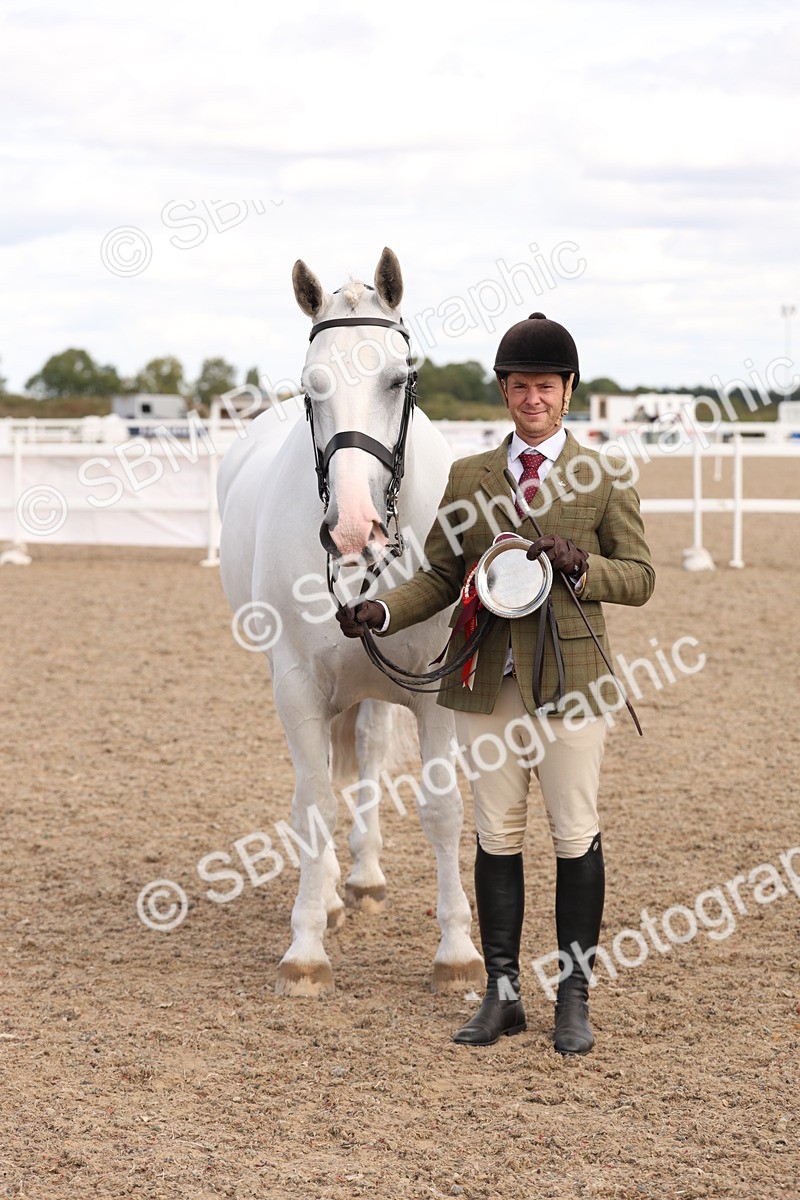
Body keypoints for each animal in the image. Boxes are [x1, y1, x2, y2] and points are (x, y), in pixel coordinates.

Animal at [217, 247, 484, 997]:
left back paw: (363, 877)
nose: (354, 530)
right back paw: (337, 892)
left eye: (399, 379)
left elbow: (442, 811)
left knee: (367, 749)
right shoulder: (297, 686)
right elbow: (313, 807)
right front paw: (306, 944)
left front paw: (457, 951)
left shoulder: (432, 689)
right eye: (313, 387)